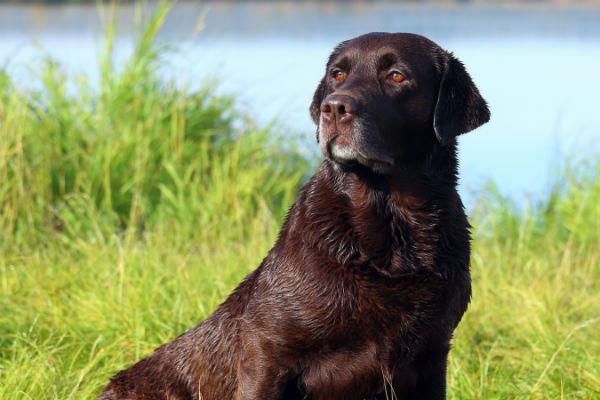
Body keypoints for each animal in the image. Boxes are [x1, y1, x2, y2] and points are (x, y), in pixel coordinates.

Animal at [98, 32, 490, 400]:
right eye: (337, 75)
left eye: (396, 76)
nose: (335, 108)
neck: (390, 231)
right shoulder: (266, 351)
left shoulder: (432, 355)